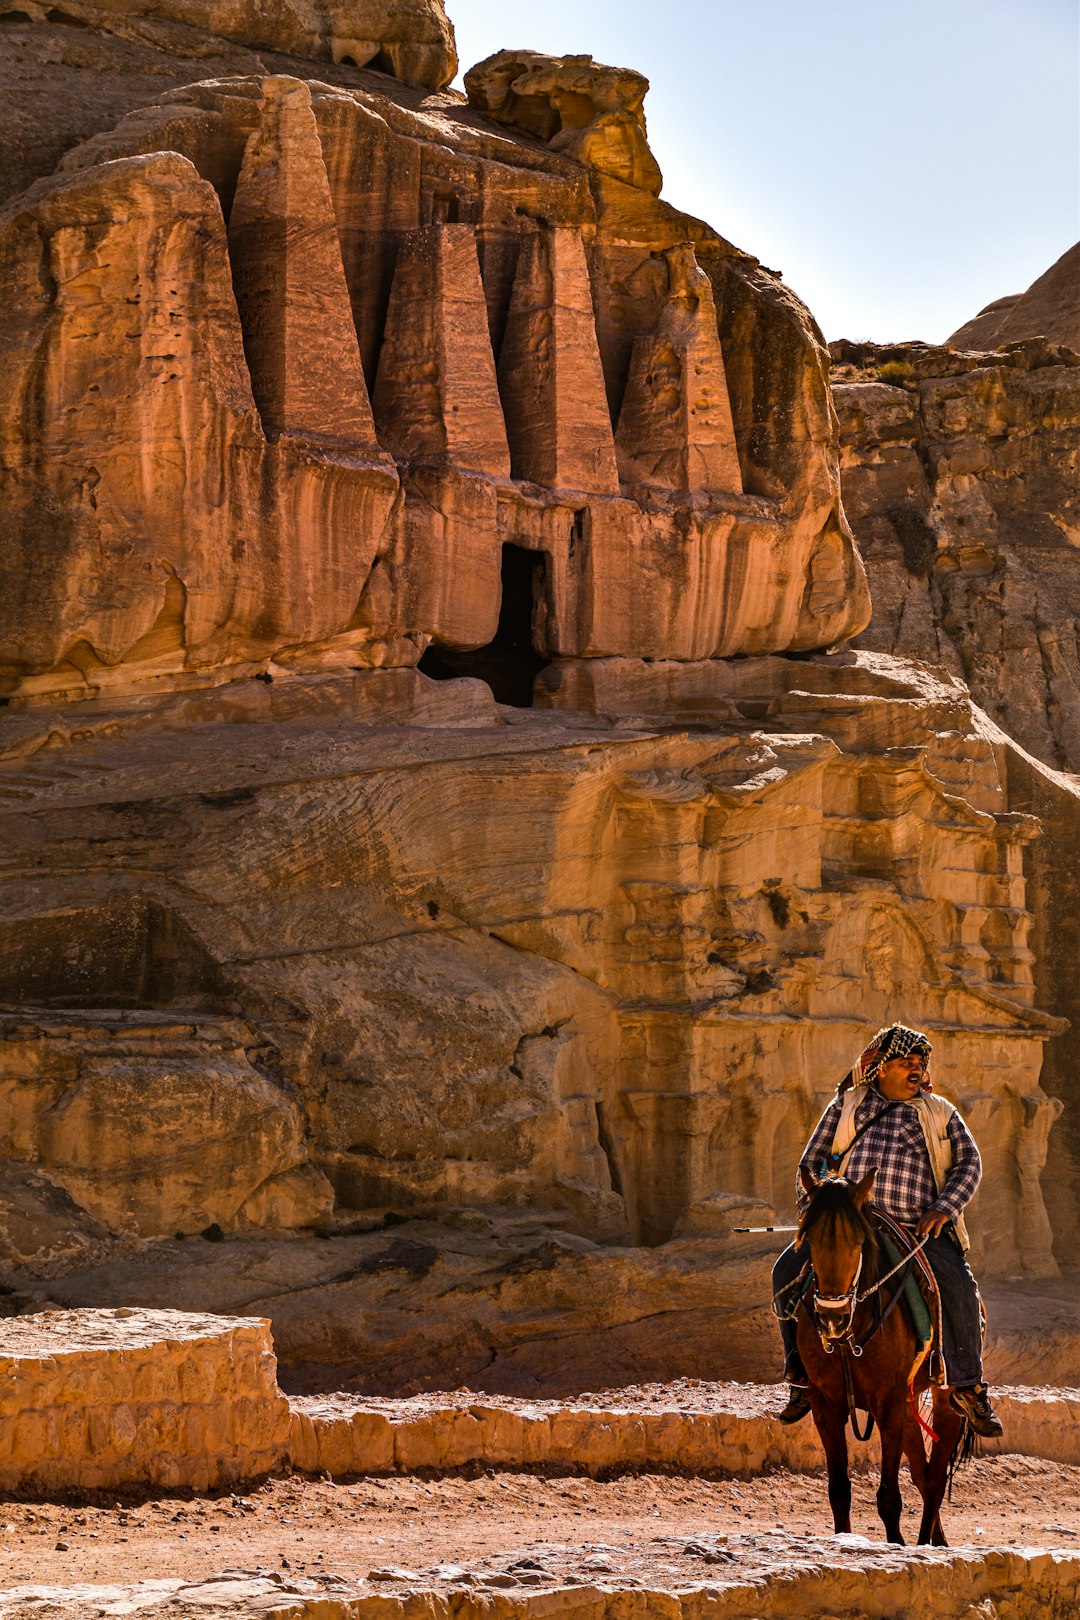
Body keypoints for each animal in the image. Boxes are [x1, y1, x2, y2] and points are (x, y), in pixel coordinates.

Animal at [799, 1166, 965, 1542]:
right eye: (809, 1241)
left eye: (858, 1241)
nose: (831, 1318)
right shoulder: (825, 1404)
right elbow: (839, 1491)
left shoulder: (888, 1401)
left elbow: (889, 1497)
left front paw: (898, 1546)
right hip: (908, 1404)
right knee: (923, 1473)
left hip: (944, 1397)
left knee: (934, 1479)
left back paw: (928, 1543)